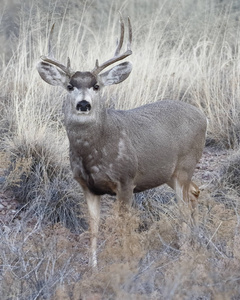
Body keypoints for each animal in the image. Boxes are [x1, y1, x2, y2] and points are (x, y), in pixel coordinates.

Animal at [36, 17, 207, 268]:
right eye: (70, 86)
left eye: (96, 86)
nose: (84, 104)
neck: (94, 153)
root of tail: (203, 117)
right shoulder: (87, 186)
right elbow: (94, 227)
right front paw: (93, 267)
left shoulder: (126, 179)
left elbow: (124, 223)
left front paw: (126, 262)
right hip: (169, 173)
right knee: (195, 192)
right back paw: (196, 243)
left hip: (185, 165)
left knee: (184, 206)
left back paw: (186, 253)